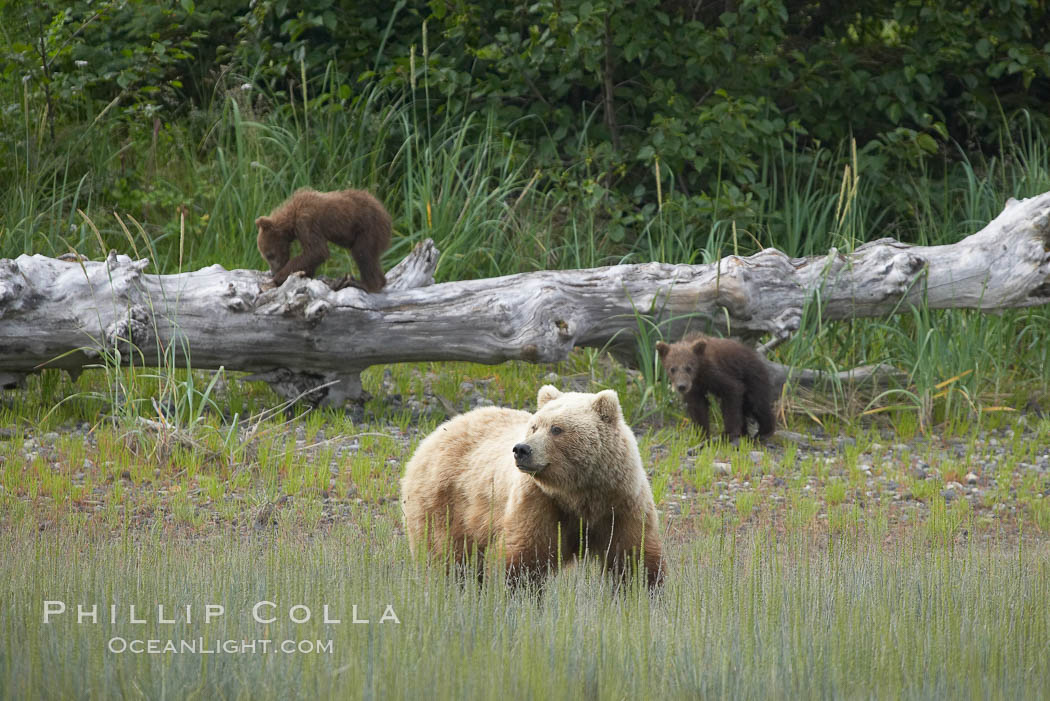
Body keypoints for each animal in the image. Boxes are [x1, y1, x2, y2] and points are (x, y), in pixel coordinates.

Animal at [401, 386, 663, 587]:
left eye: (557, 428)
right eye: (535, 426)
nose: (522, 449)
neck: (580, 493)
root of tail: (434, 434)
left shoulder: (621, 502)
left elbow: (633, 556)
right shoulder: (539, 501)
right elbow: (524, 557)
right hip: (443, 503)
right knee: (444, 555)